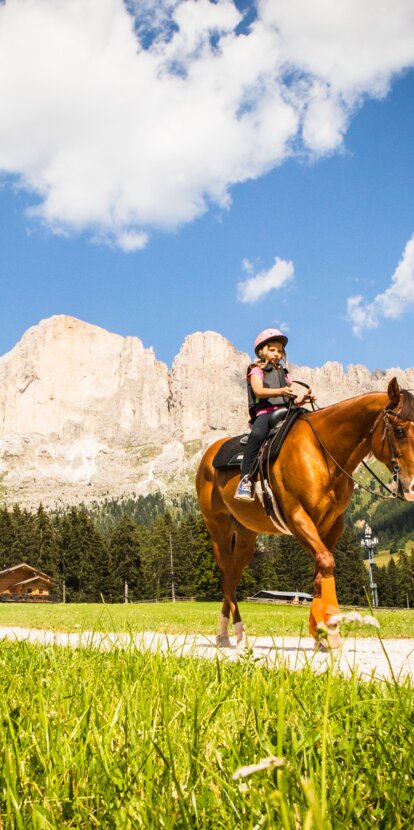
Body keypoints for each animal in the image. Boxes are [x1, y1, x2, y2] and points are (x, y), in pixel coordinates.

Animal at [196, 378, 414, 648]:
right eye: (399, 431)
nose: (412, 488)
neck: (323, 453)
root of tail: (209, 454)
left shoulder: (333, 525)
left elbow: (321, 570)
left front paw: (321, 633)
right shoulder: (297, 517)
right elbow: (326, 563)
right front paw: (328, 631)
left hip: (246, 535)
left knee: (234, 575)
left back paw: (231, 632)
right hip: (219, 528)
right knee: (226, 573)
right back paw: (230, 632)